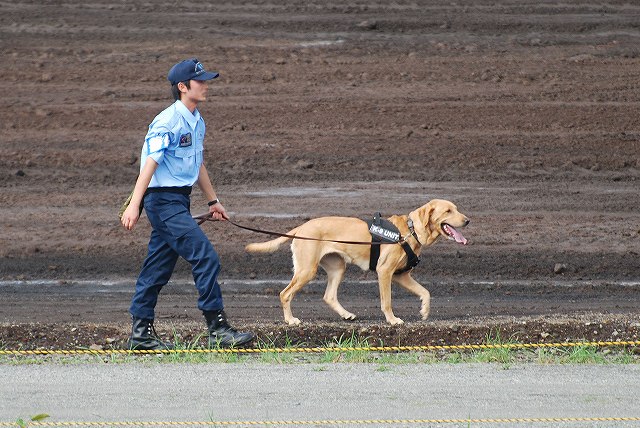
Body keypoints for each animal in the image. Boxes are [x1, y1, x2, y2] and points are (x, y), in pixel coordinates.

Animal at [245, 199, 469, 325]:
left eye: (456, 209)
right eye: (448, 211)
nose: (468, 220)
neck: (409, 230)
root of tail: (301, 227)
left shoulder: (401, 276)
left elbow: (426, 292)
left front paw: (424, 310)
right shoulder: (384, 272)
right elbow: (387, 302)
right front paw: (392, 320)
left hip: (337, 268)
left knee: (329, 296)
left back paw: (346, 315)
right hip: (307, 270)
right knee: (285, 294)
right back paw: (291, 320)